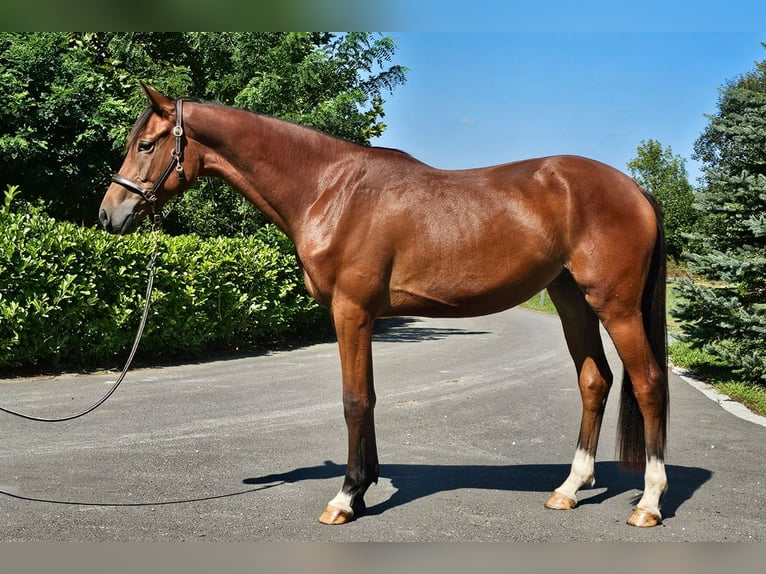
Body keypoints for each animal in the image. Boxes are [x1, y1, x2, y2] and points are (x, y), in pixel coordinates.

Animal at [99, 85, 668, 532]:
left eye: (145, 145)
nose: (109, 215)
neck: (330, 189)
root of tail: (636, 189)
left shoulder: (349, 311)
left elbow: (353, 400)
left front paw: (344, 498)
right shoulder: (365, 317)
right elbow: (368, 398)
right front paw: (364, 487)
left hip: (615, 306)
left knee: (648, 384)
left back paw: (648, 502)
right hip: (573, 301)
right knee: (594, 381)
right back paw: (569, 488)